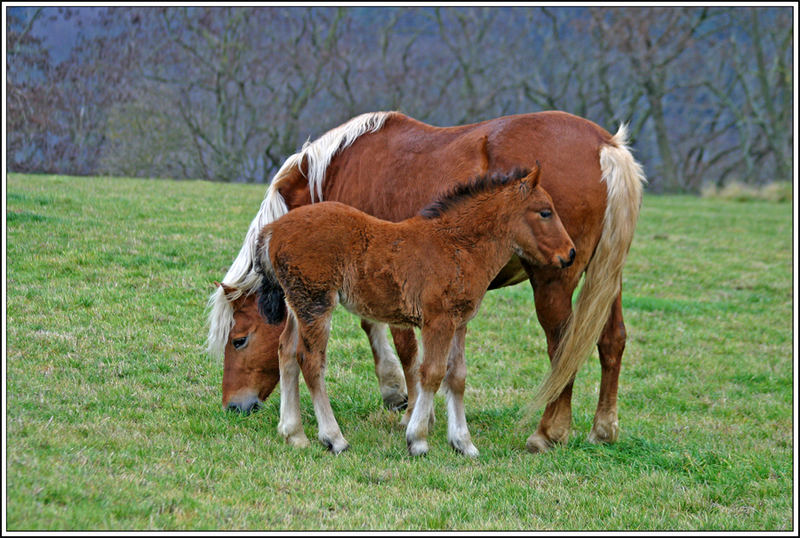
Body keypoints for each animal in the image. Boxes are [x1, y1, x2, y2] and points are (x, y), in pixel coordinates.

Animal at [256, 166, 576, 452]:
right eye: (545, 212)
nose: (570, 254)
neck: (457, 246)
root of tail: (272, 230)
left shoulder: (459, 323)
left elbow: (457, 377)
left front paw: (463, 443)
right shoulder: (438, 321)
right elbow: (432, 373)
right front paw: (418, 438)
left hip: (298, 303)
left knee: (286, 352)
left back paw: (293, 433)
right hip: (316, 303)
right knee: (311, 361)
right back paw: (333, 438)